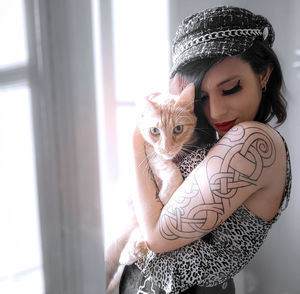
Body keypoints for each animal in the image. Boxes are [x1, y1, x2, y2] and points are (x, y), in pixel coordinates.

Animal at [105, 83, 197, 294]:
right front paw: (164, 194)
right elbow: (170, 170)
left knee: (138, 237)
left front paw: (164, 195)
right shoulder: (151, 153)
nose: (167, 148)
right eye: (155, 131)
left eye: (178, 129)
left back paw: (133, 250)